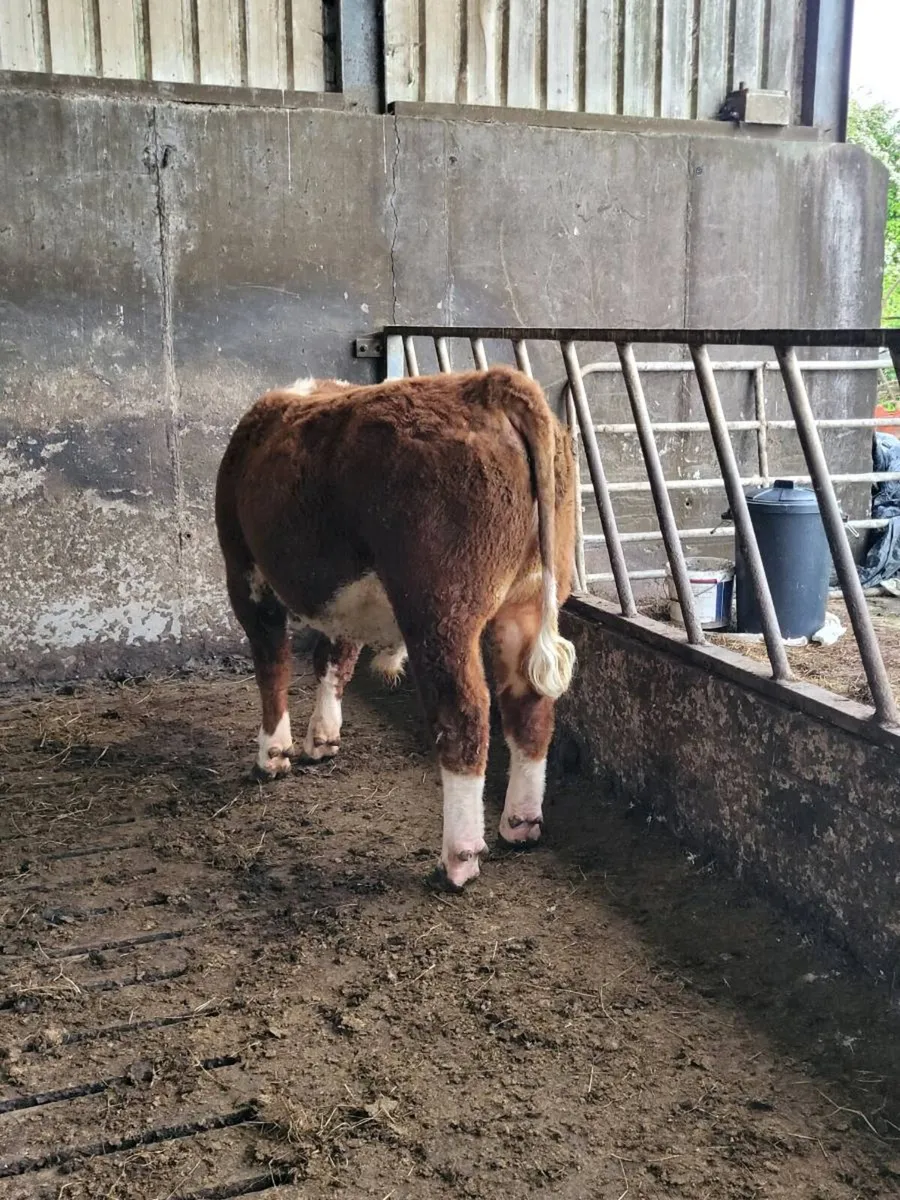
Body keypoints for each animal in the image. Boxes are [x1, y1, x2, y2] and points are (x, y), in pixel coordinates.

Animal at [214, 365, 576, 891]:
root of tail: (488, 384)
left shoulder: (244, 572)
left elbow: (273, 664)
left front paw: (272, 753)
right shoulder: (342, 599)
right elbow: (334, 658)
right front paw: (322, 737)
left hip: (440, 608)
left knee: (464, 714)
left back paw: (458, 858)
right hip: (526, 600)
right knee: (529, 708)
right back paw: (521, 823)